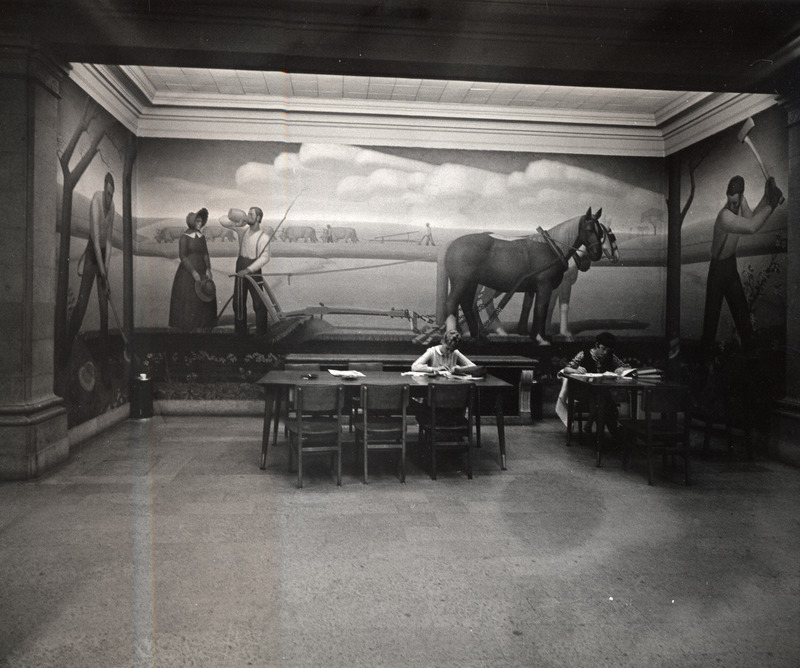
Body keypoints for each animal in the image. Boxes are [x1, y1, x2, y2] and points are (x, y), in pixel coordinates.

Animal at [444, 207, 608, 344]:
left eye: (600, 232)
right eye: (589, 229)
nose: (596, 254)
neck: (551, 247)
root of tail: (451, 246)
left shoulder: (538, 289)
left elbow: (539, 310)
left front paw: (537, 336)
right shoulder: (544, 286)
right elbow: (541, 310)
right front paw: (541, 338)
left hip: (471, 283)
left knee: (466, 304)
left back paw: (478, 336)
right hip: (461, 282)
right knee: (451, 304)